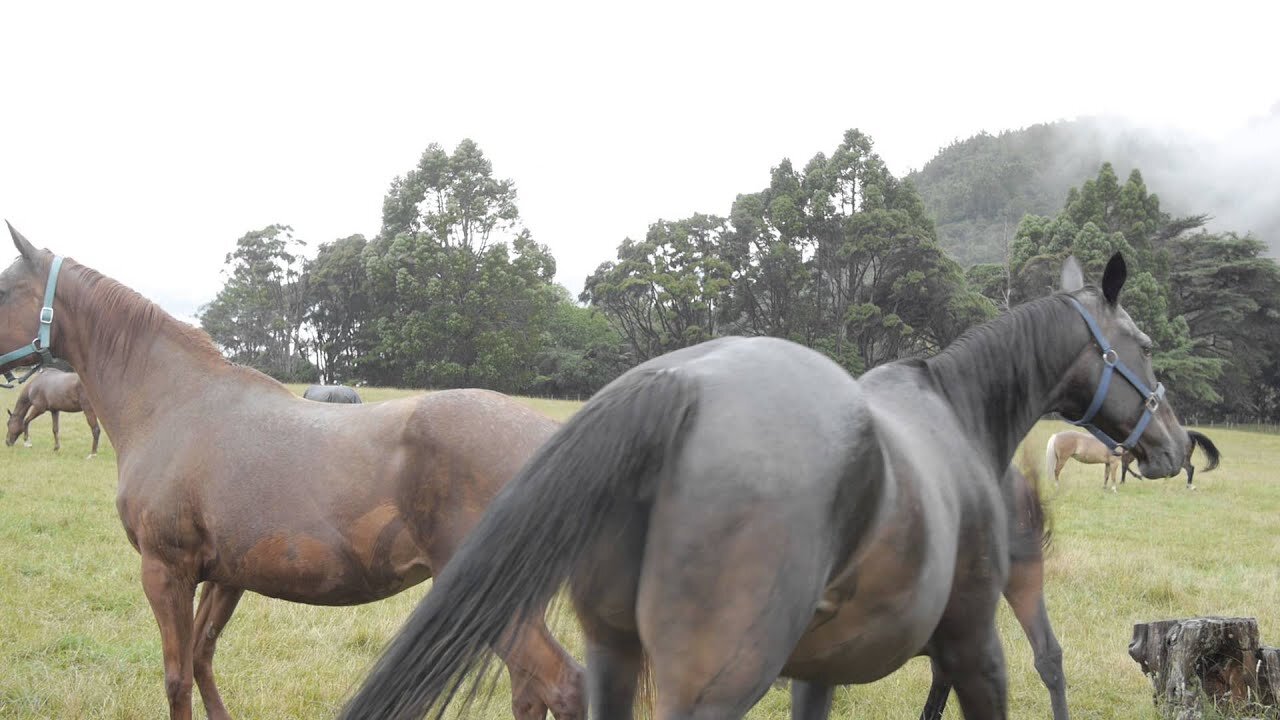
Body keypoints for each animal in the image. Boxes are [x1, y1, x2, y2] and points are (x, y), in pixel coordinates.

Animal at [0, 225, 586, 717]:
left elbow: (176, 678)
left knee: (561, 685)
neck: (174, 403)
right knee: (532, 691)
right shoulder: (227, 576)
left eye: (5, 289)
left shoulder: (166, 571)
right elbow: (201, 659)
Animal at [340, 252, 1187, 717]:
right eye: (1143, 343)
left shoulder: (819, 672)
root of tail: (678, 383)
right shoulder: (975, 647)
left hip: (616, 661)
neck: (956, 410)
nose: (1175, 446)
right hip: (711, 688)